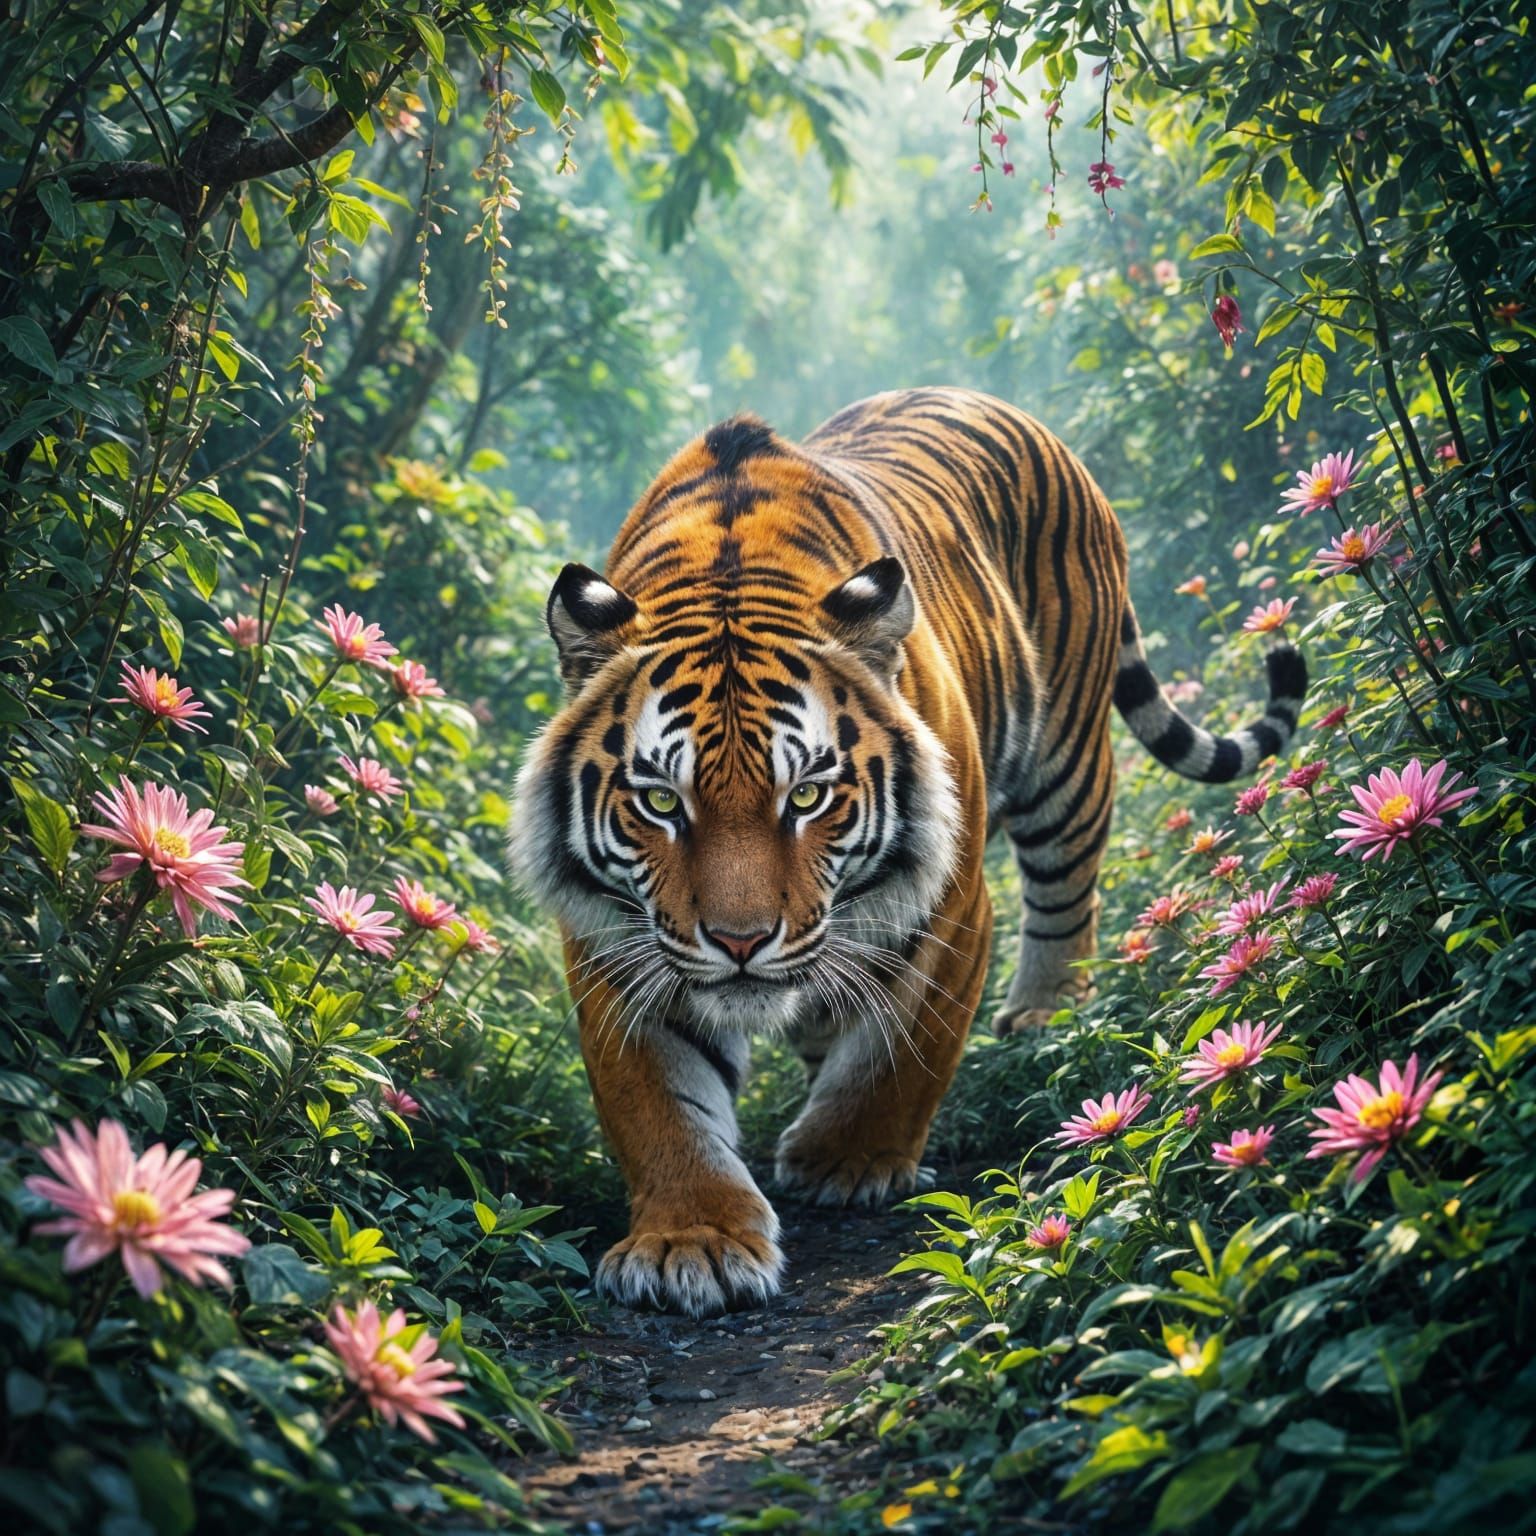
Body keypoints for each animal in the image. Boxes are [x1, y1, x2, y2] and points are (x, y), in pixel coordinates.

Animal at [511, 387, 1305, 1318]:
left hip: (1066, 762)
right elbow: (655, 1102)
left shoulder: (948, 901)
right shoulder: (616, 938)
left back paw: (1045, 1017)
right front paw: (692, 1241)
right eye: (662, 802)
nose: (741, 943)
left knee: (1068, 895)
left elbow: (903, 1046)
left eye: (807, 795)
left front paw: (845, 1162)